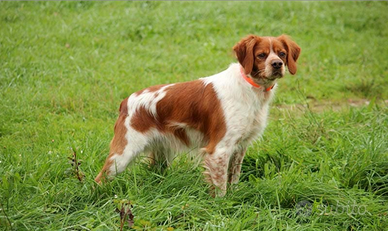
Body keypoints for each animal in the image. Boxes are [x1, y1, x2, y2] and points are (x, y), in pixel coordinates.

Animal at [95, 34, 302, 197]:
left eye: (282, 53)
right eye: (261, 55)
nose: (277, 64)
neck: (251, 87)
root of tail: (126, 101)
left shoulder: (239, 147)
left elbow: (233, 178)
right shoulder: (219, 150)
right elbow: (220, 187)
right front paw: (223, 206)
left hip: (162, 154)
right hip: (124, 153)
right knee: (99, 179)